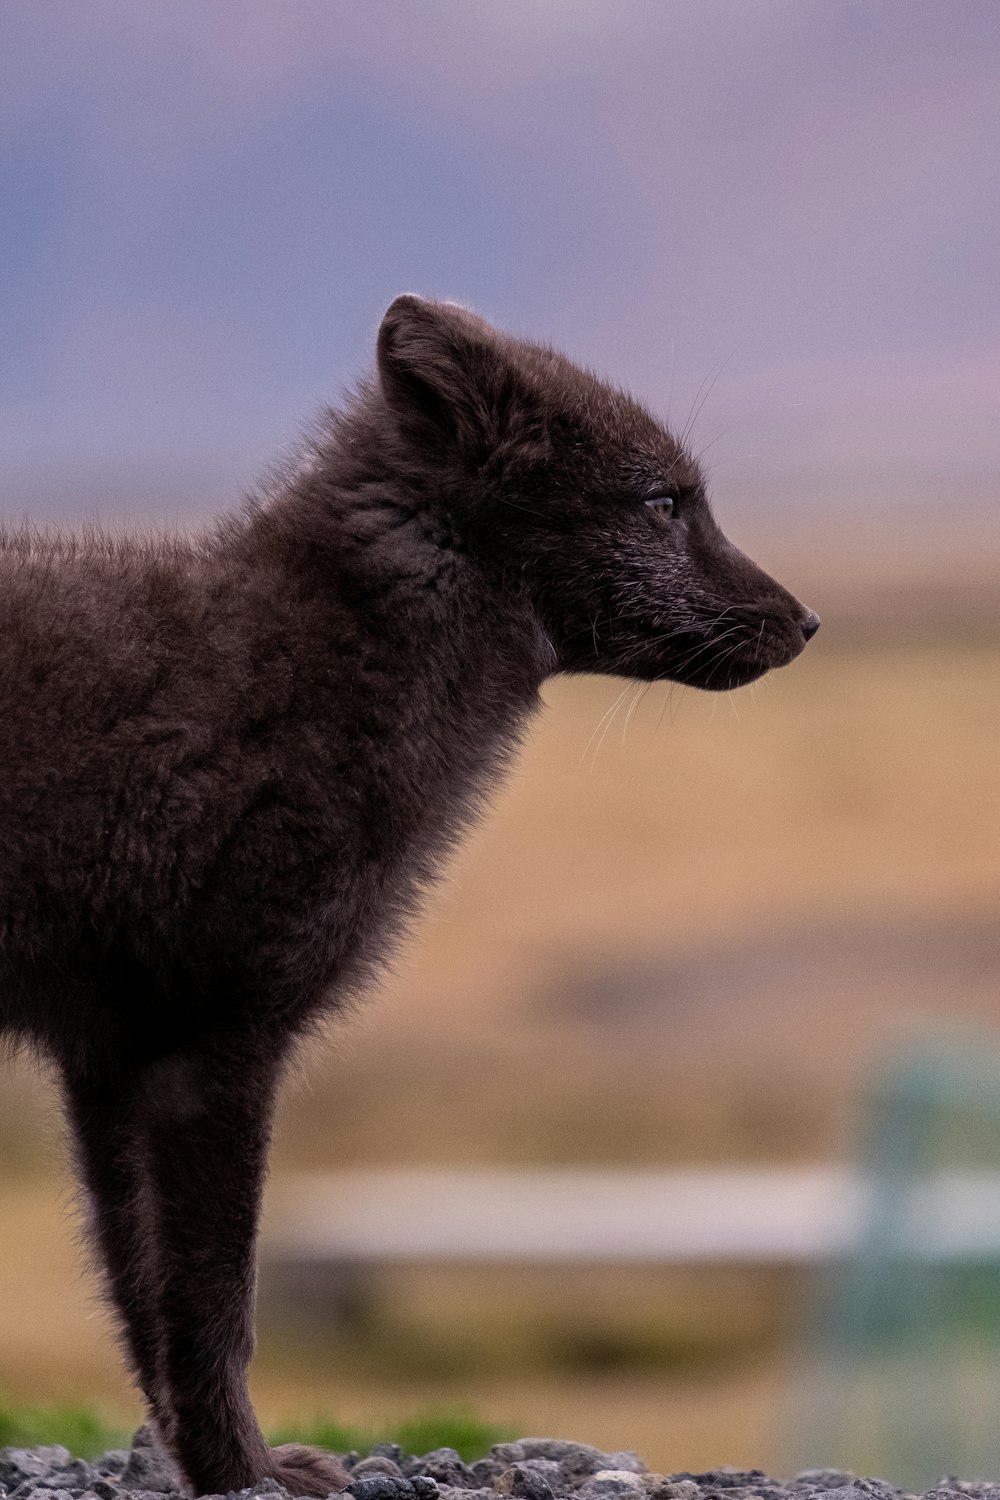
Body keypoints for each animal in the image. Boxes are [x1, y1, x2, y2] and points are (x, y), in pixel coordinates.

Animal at [0, 298, 815, 1494]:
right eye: (665, 502)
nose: (807, 623)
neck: (341, 656)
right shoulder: (216, 1042)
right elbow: (211, 1303)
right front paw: (245, 1472)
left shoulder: (108, 1057)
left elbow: (137, 1302)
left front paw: (208, 1465)